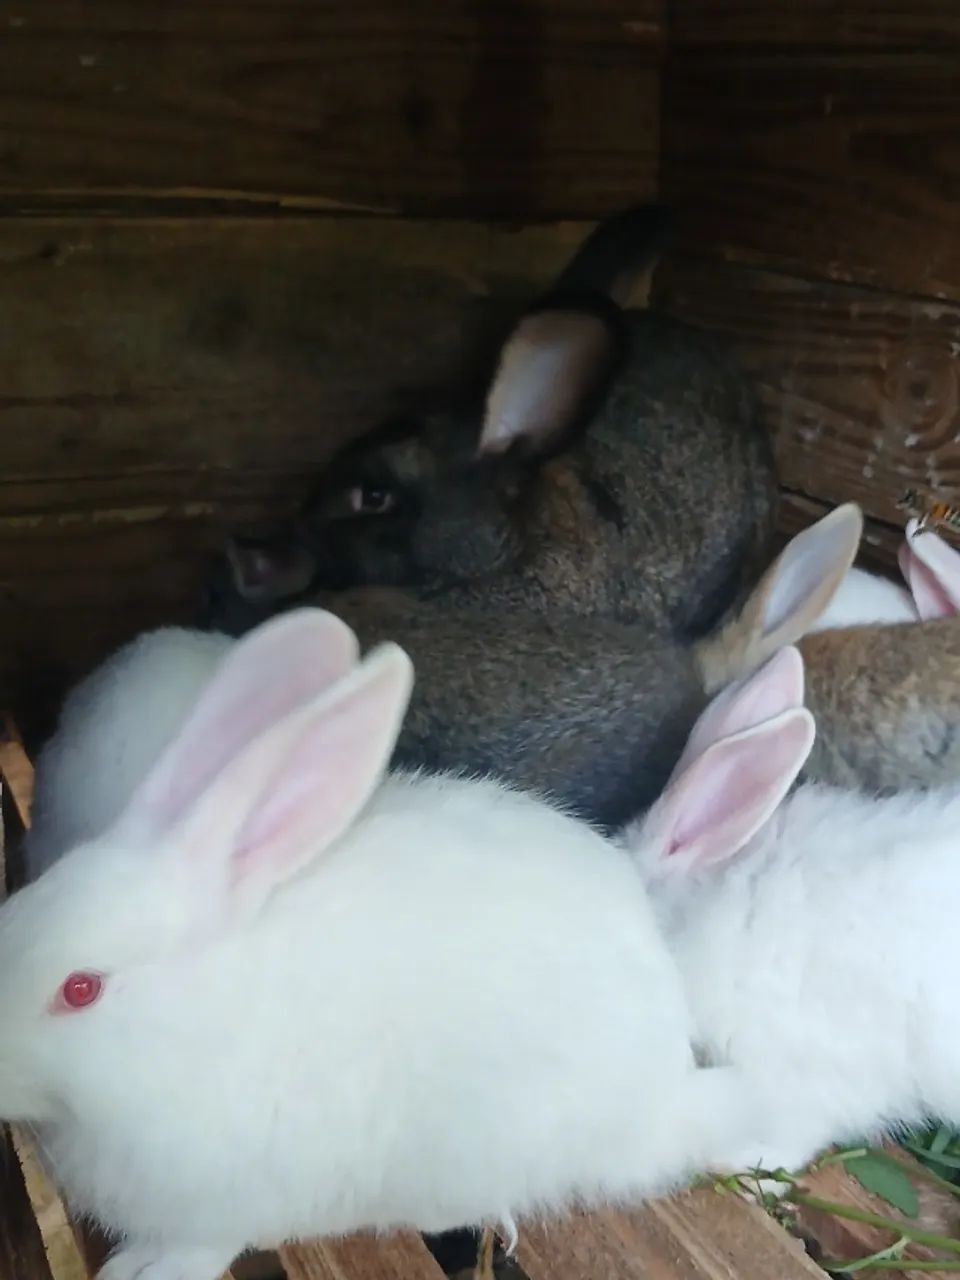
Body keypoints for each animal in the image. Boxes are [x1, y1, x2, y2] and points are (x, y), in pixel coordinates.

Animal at [0, 609, 772, 1280]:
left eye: (81, 989)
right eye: (11, 915)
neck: (209, 1024)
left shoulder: (232, 1202)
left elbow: (203, 1245)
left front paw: (144, 1270)